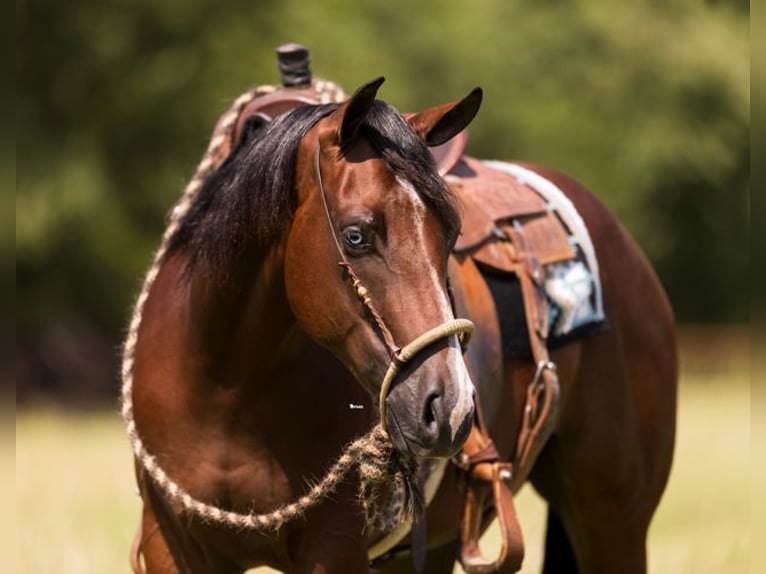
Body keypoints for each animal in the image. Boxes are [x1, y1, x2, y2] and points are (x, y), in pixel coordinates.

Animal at [123, 77, 677, 574]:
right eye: (355, 236)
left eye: (451, 232)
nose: (451, 407)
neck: (229, 388)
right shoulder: (169, 546)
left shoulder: (333, 549)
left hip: (613, 521)